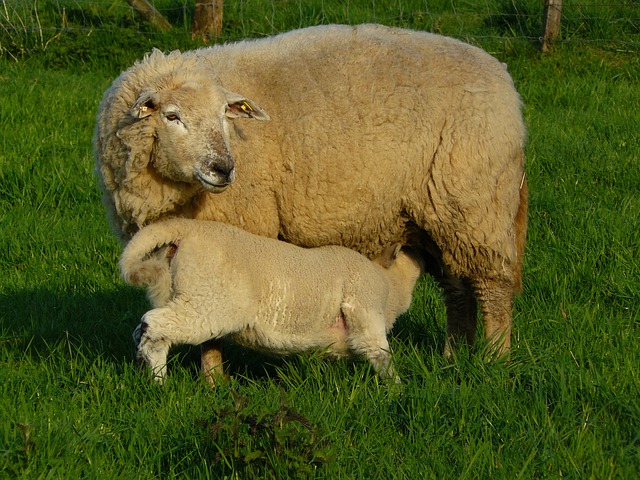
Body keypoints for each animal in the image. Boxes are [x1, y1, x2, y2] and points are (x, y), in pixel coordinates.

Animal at [119, 219, 424, 384]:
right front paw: (397, 389)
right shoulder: (365, 306)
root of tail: (186, 229)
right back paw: (159, 380)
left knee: (141, 331)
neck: (390, 283)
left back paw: (144, 371)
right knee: (154, 325)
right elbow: (379, 353)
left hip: (184, 294)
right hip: (209, 302)